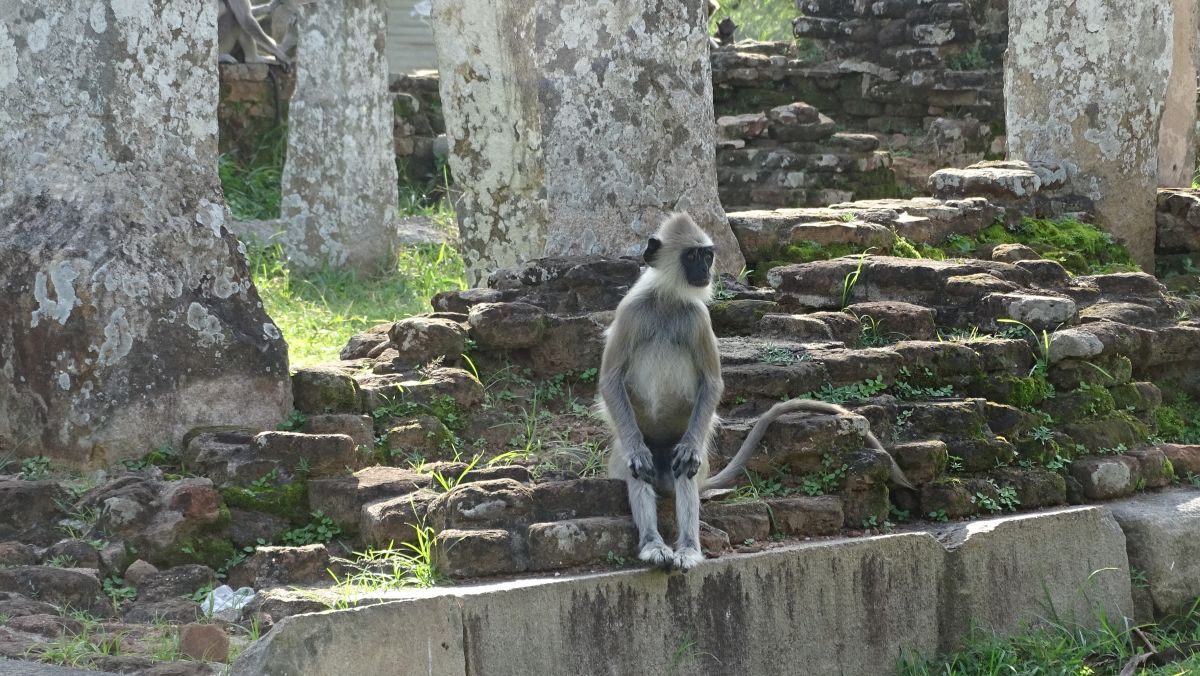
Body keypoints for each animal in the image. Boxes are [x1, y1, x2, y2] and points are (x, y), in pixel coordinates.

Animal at [600, 212, 907, 571]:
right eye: (691, 257)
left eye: (707, 255)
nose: (704, 271)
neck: (668, 301)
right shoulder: (630, 310)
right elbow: (610, 380)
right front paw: (638, 454)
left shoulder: (699, 318)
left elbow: (712, 383)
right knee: (638, 468)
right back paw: (653, 543)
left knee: (686, 468)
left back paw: (688, 546)